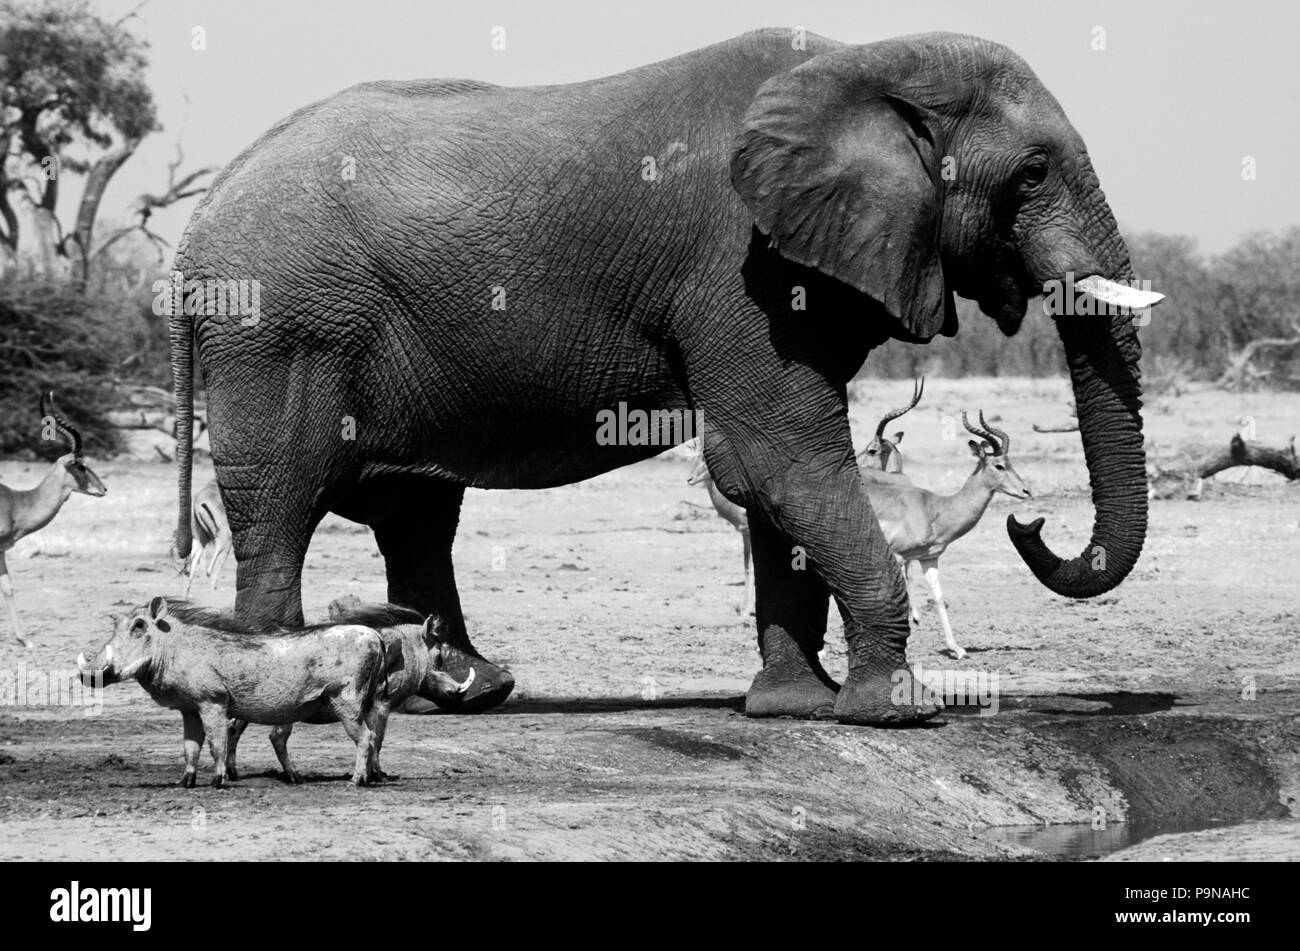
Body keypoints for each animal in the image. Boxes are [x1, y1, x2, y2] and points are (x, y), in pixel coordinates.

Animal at [0, 392, 107, 646]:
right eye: (81, 465)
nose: (104, 489)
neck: (17, 503)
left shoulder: (0, 550)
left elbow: (8, 587)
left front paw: (24, 639)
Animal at [857, 413, 1029, 657]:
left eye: (1010, 463)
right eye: (999, 465)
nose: (1026, 491)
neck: (934, 509)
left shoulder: (929, 558)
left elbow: (939, 597)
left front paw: (956, 649)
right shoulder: (897, 556)